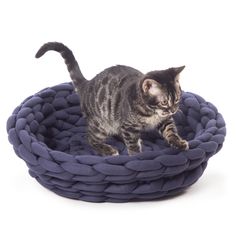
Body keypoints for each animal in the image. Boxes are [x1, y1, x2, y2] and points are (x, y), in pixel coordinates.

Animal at [35, 42, 188, 157]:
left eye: (177, 98)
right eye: (164, 102)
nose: (173, 110)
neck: (151, 113)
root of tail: (88, 84)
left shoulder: (164, 119)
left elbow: (170, 131)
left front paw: (178, 142)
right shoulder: (129, 126)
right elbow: (132, 144)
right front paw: (137, 157)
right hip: (101, 124)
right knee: (90, 138)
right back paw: (107, 149)